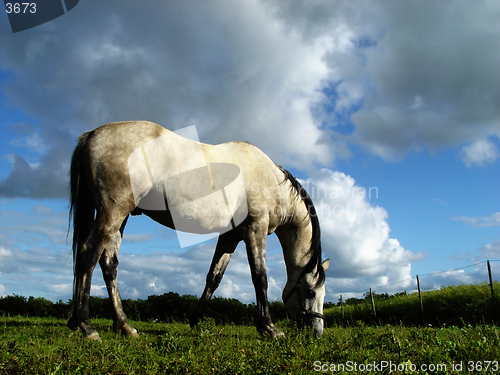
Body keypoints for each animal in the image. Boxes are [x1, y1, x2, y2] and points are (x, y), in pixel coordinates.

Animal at [68, 121, 330, 340]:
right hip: (113, 211)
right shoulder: (255, 230)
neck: (271, 181)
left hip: (120, 217)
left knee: (108, 264)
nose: (317, 332)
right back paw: (86, 326)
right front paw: (269, 327)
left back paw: (123, 325)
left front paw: (196, 322)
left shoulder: (231, 236)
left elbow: (214, 277)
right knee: (88, 254)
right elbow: (260, 277)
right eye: (310, 292)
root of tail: (92, 135)